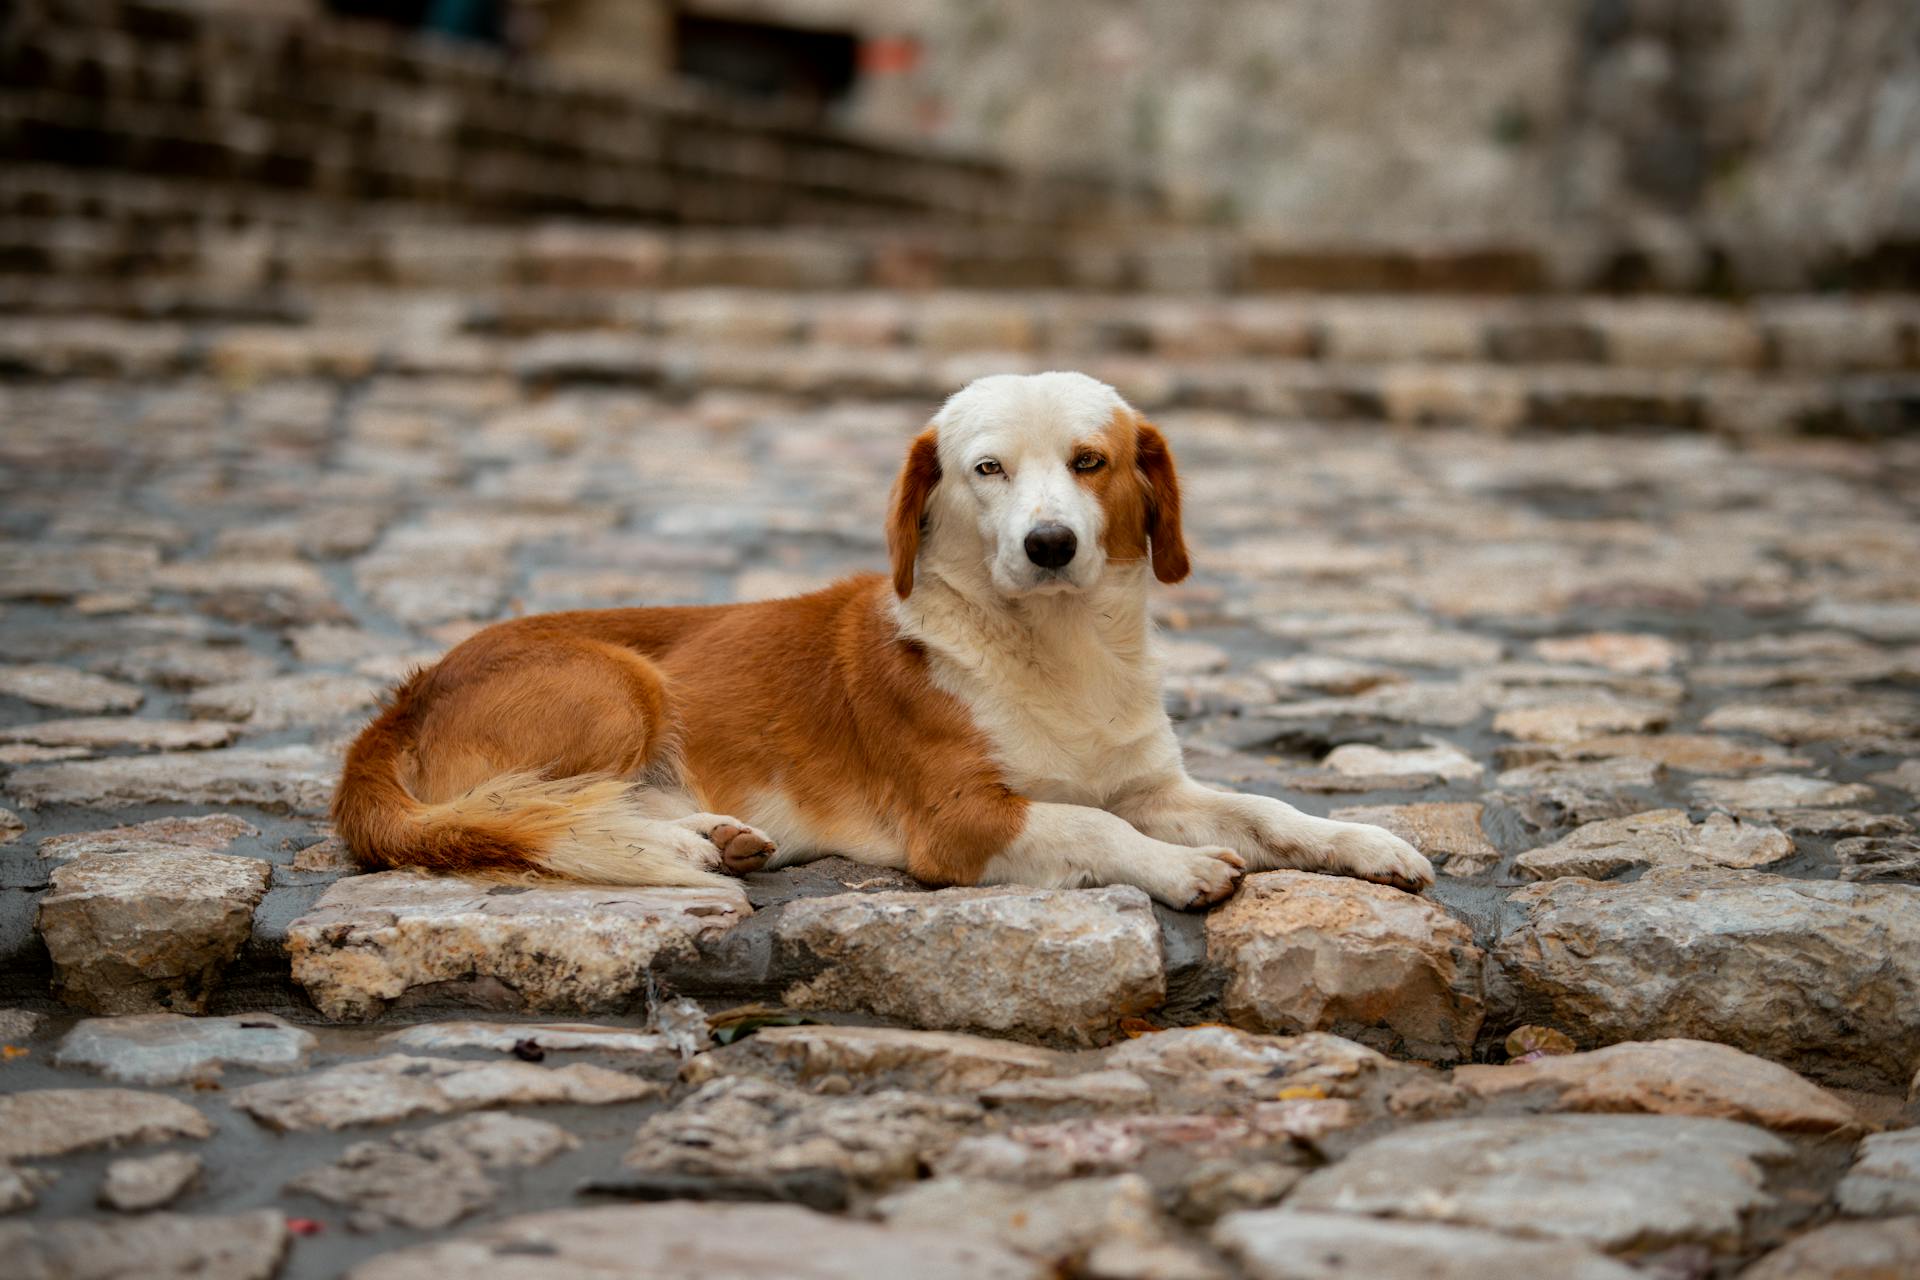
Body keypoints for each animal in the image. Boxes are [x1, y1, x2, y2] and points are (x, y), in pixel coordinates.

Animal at [337, 370, 1436, 909]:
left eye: (1090, 461)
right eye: (987, 468)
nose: (1049, 544)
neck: (1061, 648)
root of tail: (402, 699)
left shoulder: (1150, 785)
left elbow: (1267, 807)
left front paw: (1370, 842)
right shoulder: (959, 822)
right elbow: (1095, 833)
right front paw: (1180, 871)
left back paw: (710, 837)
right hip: (621, 682)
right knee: (532, 809)